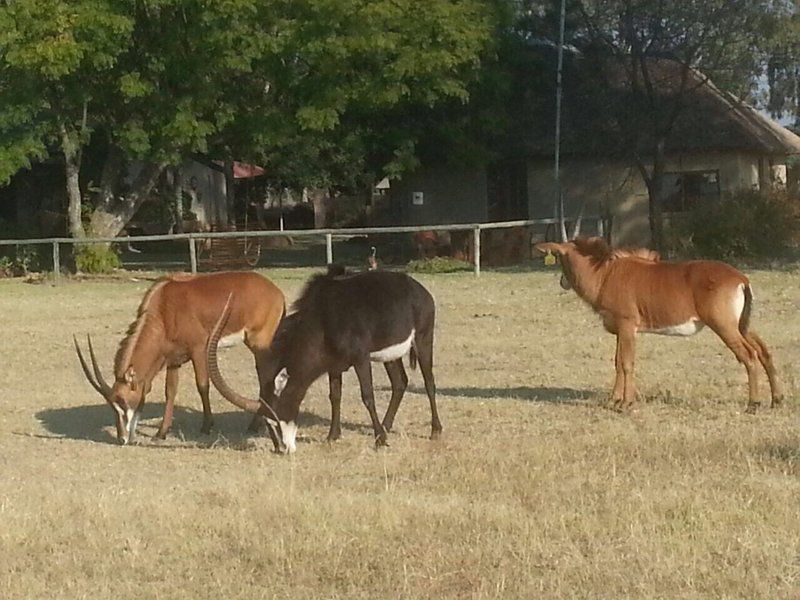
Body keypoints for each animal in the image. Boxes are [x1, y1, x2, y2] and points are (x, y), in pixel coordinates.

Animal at [72, 270, 284, 442]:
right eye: (112, 405)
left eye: (123, 401)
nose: (122, 438)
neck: (164, 308)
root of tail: (276, 291)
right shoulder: (173, 359)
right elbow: (170, 391)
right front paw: (161, 432)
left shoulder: (199, 349)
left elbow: (202, 385)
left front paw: (206, 426)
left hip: (258, 343)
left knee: (265, 375)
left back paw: (254, 425)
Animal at [203, 264, 440, 452]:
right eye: (268, 422)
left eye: (279, 417)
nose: (283, 449)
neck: (325, 318)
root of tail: (420, 290)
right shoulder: (334, 365)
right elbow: (334, 395)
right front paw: (333, 436)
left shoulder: (360, 358)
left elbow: (367, 395)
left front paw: (379, 440)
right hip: (390, 355)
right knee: (400, 383)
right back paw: (387, 425)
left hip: (423, 338)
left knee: (429, 382)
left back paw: (434, 430)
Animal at [536, 238, 780, 412]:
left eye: (558, 255)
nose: (563, 282)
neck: (604, 274)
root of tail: (742, 279)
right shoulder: (620, 330)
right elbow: (617, 363)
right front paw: (613, 400)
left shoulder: (627, 325)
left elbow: (626, 363)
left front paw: (625, 404)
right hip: (741, 325)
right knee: (763, 351)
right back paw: (777, 399)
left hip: (724, 326)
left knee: (749, 355)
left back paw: (753, 405)